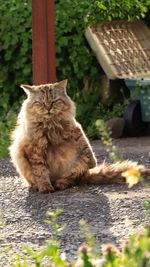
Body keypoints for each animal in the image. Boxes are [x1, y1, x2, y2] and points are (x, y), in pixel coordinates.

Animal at [9, 78, 150, 194]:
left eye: (55, 101)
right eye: (40, 103)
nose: (48, 108)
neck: (51, 126)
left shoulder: (85, 150)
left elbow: (79, 164)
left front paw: (58, 183)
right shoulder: (34, 151)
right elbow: (41, 172)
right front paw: (45, 187)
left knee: (75, 177)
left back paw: (61, 183)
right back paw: (39, 186)